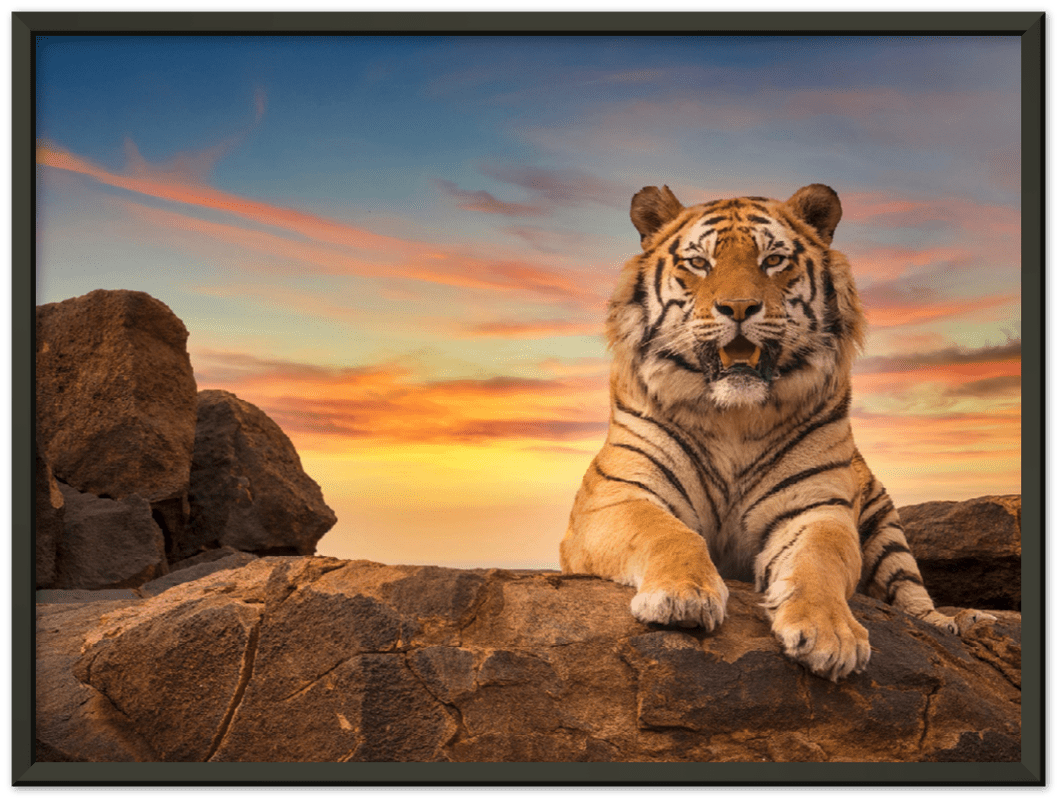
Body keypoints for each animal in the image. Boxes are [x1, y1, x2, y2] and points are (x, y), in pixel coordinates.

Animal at [560, 183, 993, 681]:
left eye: (773, 260)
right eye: (699, 262)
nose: (739, 308)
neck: (733, 417)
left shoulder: (816, 509)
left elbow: (819, 562)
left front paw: (830, 635)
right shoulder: (616, 497)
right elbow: (668, 534)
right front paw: (682, 597)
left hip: (887, 531)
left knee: (914, 598)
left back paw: (961, 622)